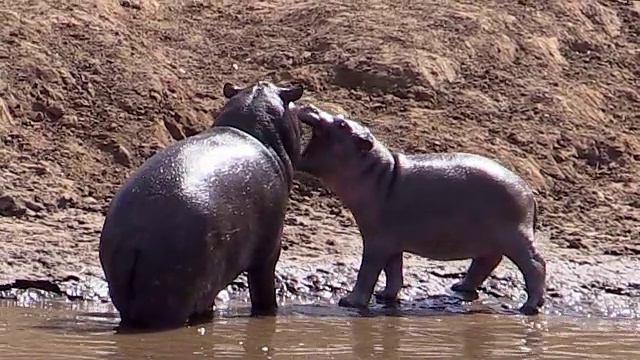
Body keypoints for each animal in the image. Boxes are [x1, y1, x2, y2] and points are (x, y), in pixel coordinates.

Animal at [294, 104, 544, 316]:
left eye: (342, 125)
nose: (310, 106)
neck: (378, 172)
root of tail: (528, 192)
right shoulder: (391, 241)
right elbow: (394, 271)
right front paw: (385, 296)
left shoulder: (376, 241)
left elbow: (368, 271)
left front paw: (349, 301)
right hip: (488, 239)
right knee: (487, 261)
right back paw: (460, 287)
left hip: (514, 236)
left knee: (535, 265)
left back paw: (528, 307)